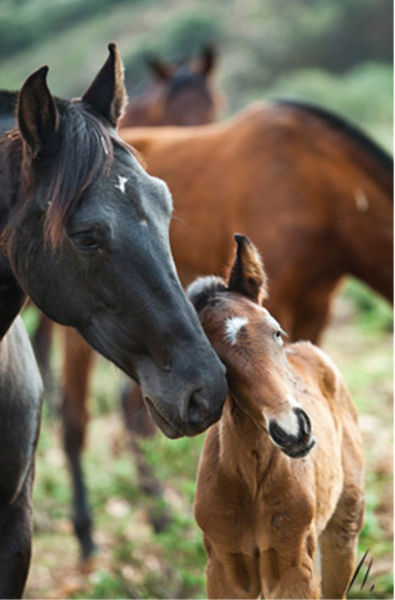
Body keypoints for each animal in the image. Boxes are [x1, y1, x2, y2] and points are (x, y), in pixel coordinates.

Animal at [62, 101, 392, 560]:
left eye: (275, 335)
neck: (319, 182)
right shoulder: (282, 295)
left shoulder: (315, 306)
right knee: (75, 414)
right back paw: (89, 536)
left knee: (131, 408)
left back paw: (161, 521)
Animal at [189, 236, 366, 600]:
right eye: (219, 361)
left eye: (275, 332)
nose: (292, 430)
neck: (253, 481)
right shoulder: (224, 570)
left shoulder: (295, 567)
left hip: (343, 530)